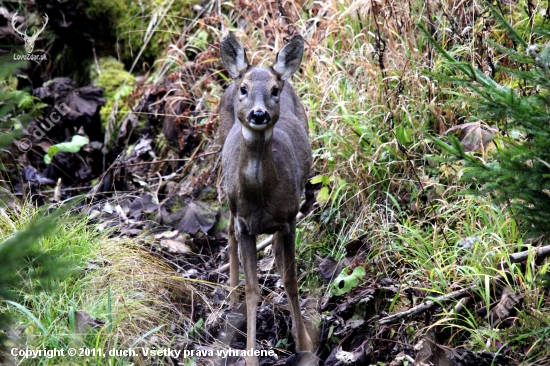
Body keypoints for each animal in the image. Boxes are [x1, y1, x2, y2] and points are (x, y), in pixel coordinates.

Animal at [220, 32, 314, 366]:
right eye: (245, 89)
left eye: (274, 90)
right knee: (227, 230)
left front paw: (304, 344)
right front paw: (250, 357)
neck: (261, 198)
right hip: (226, 190)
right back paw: (231, 298)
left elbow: (291, 280)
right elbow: (253, 291)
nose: (258, 114)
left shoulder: (288, 221)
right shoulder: (246, 225)